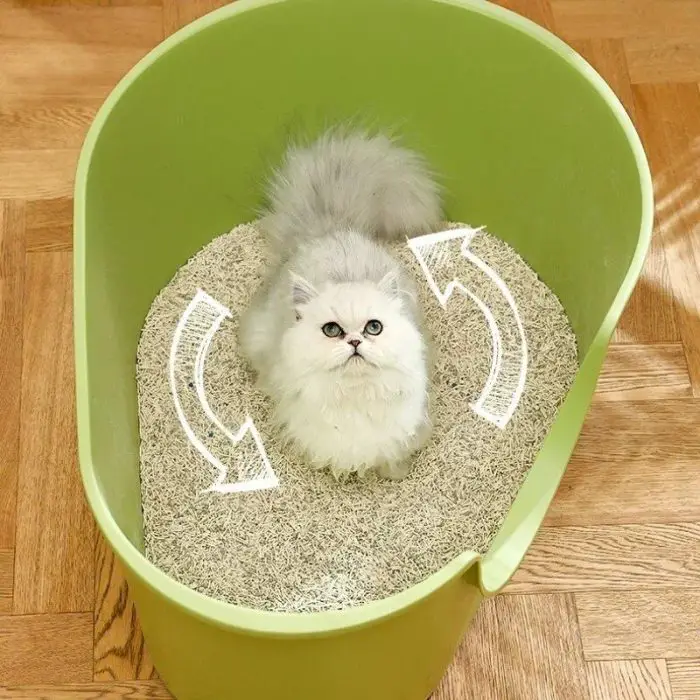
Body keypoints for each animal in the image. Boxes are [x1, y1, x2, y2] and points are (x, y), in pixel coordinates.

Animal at [238, 131, 440, 478]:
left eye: (374, 327)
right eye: (332, 330)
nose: (355, 341)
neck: (354, 397)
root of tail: (330, 231)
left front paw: (393, 473)